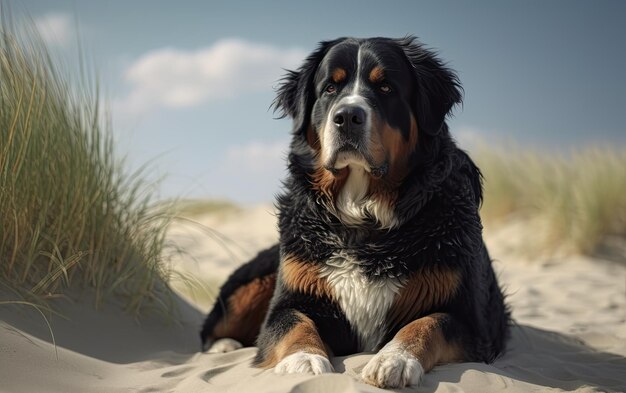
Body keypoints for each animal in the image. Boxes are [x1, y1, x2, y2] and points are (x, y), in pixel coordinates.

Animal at [199, 37, 508, 388]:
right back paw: (224, 346)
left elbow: (428, 323)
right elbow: (294, 324)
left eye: (386, 87)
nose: (347, 116)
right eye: (330, 88)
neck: (364, 218)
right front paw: (303, 360)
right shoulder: (290, 299)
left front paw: (394, 359)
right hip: (255, 281)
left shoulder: (472, 322)